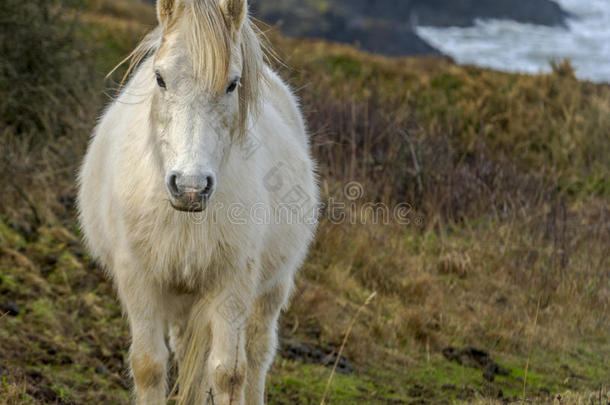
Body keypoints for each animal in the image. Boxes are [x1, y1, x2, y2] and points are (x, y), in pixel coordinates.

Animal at [77, 0, 318, 400]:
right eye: (160, 78)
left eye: (232, 84)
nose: (191, 187)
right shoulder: (138, 278)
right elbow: (149, 366)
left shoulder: (232, 283)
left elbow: (228, 373)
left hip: (271, 288)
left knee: (257, 353)